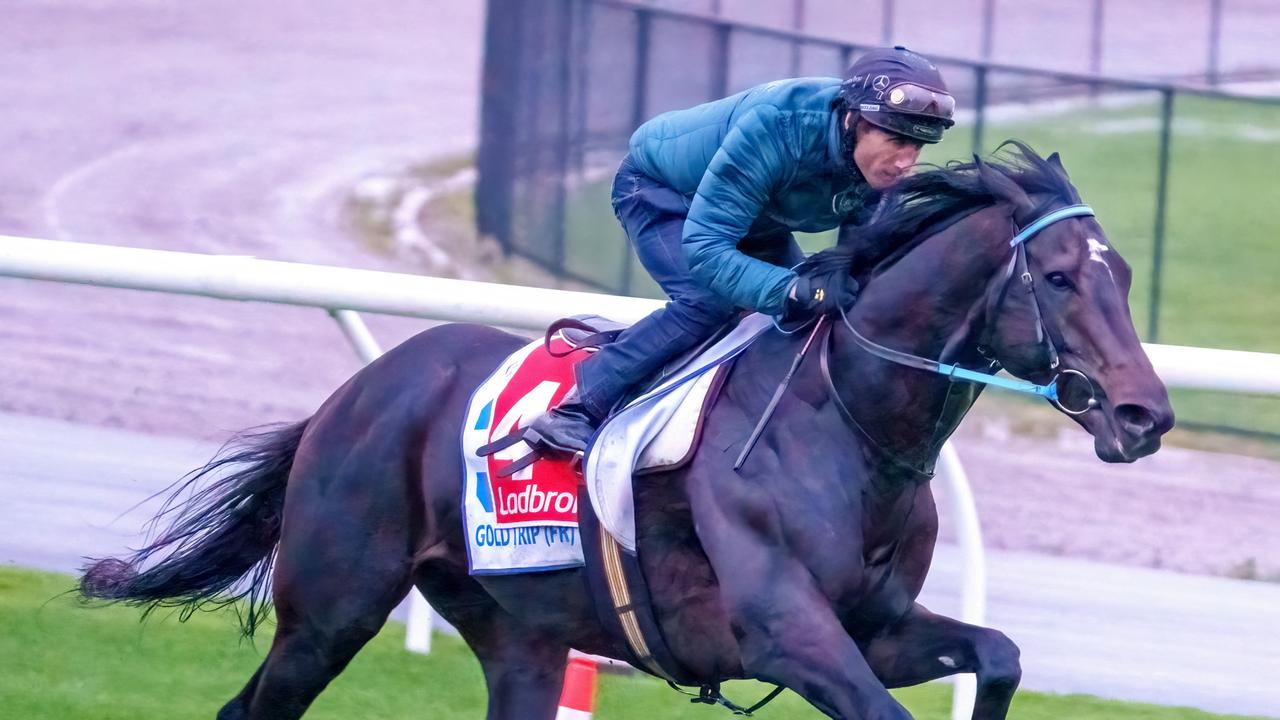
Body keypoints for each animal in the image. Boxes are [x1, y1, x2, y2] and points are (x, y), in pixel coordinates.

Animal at [82, 141, 1172, 717]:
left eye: (1120, 276)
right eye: (1059, 277)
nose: (1145, 415)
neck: (848, 427)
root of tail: (359, 390)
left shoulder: (877, 627)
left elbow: (999, 653)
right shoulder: (784, 635)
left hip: (517, 637)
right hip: (333, 607)